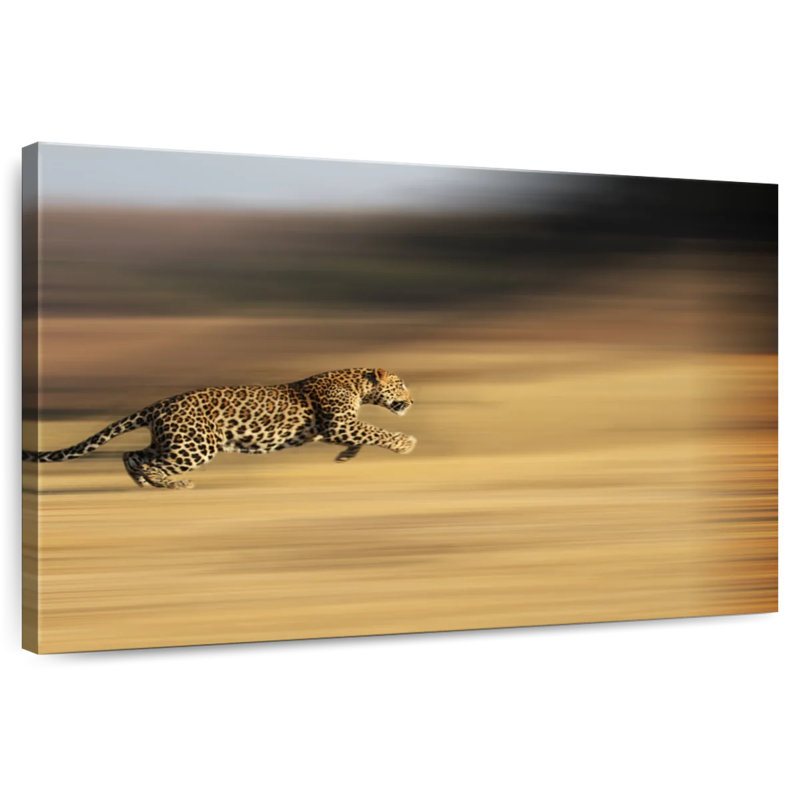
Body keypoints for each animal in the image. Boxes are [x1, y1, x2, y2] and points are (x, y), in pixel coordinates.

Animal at [22, 368, 416, 489]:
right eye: (400, 384)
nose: (412, 401)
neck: (358, 384)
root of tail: (160, 404)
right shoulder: (338, 423)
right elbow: (375, 431)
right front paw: (405, 443)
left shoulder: (336, 427)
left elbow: (364, 435)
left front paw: (346, 458)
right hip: (195, 447)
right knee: (150, 462)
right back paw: (172, 484)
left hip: (174, 441)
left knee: (132, 454)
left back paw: (145, 484)